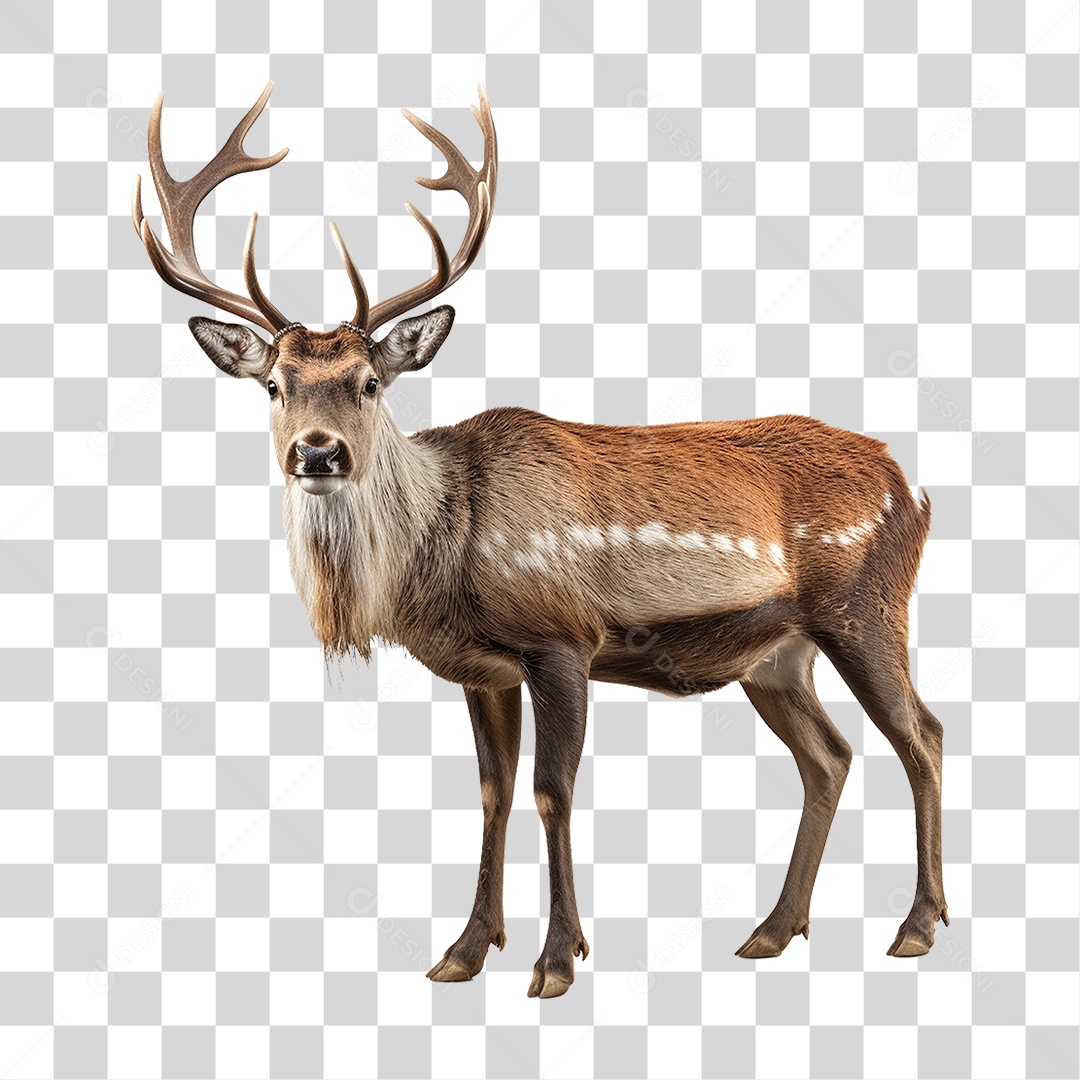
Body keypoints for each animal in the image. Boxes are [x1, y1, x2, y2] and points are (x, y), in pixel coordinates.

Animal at [133, 82, 947, 998]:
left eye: (370, 382)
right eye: (274, 384)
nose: (317, 451)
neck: (440, 563)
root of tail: (914, 487)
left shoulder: (562, 639)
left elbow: (552, 791)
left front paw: (557, 959)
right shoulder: (482, 668)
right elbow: (493, 791)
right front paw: (462, 950)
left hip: (864, 607)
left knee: (921, 735)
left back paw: (915, 927)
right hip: (777, 654)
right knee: (830, 756)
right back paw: (772, 930)